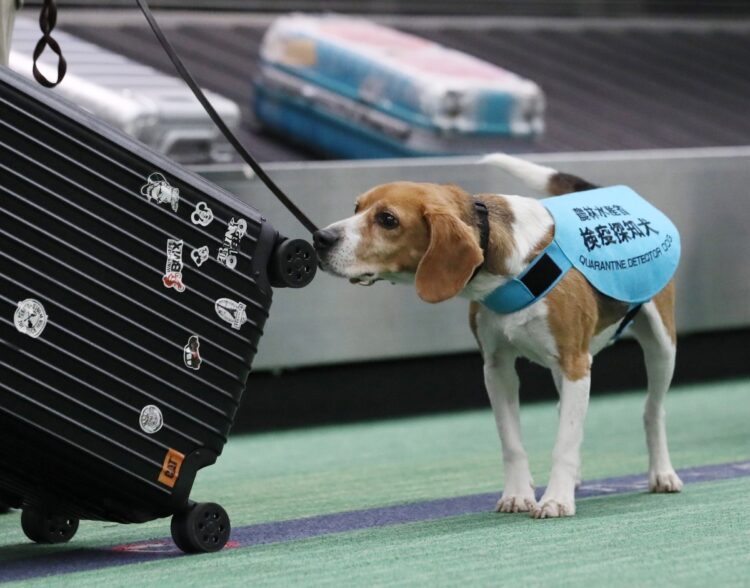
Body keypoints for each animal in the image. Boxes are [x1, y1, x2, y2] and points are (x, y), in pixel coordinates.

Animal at [314, 154, 684, 516]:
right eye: (356, 207)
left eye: (388, 219)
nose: (321, 238)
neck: (508, 267)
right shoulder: (497, 368)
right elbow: (514, 443)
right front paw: (519, 495)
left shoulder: (575, 362)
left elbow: (564, 444)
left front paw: (556, 500)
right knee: (567, 413)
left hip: (661, 348)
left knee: (652, 411)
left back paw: (662, 474)